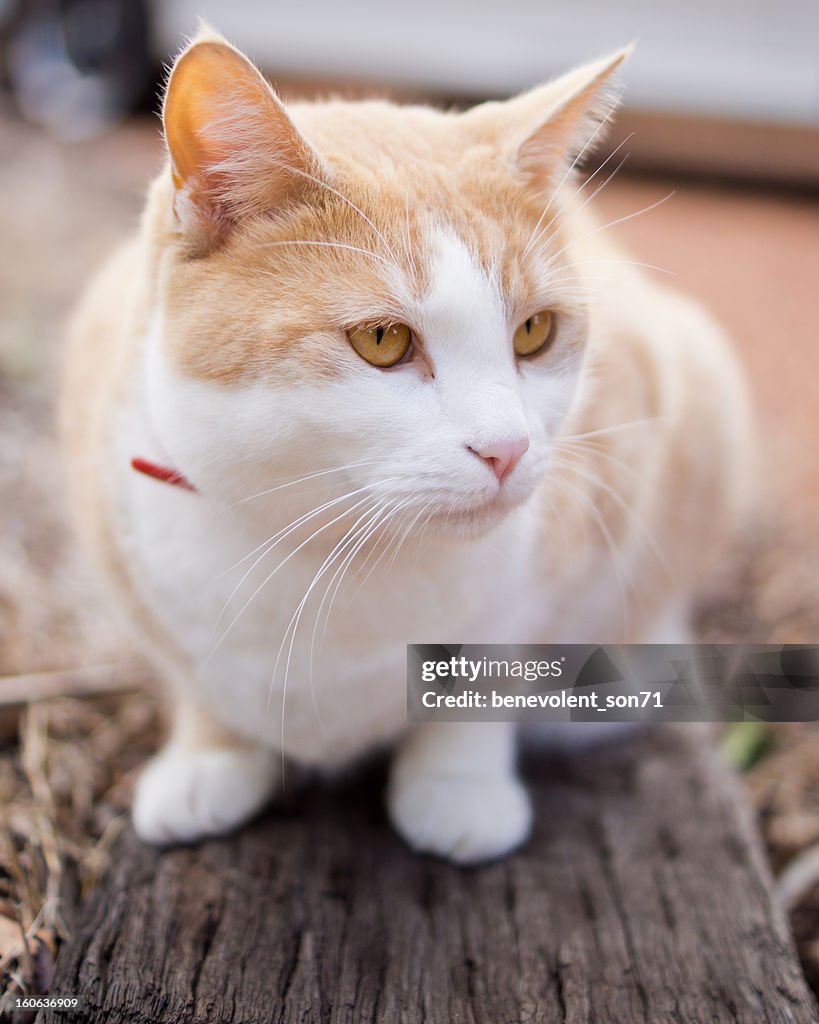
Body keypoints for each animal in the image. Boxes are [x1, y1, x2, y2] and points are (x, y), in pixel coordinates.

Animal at [62, 28, 753, 864]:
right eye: (382, 341)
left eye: (533, 331)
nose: (506, 448)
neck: (331, 557)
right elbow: (194, 676)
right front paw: (210, 752)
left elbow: (490, 669)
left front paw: (457, 782)